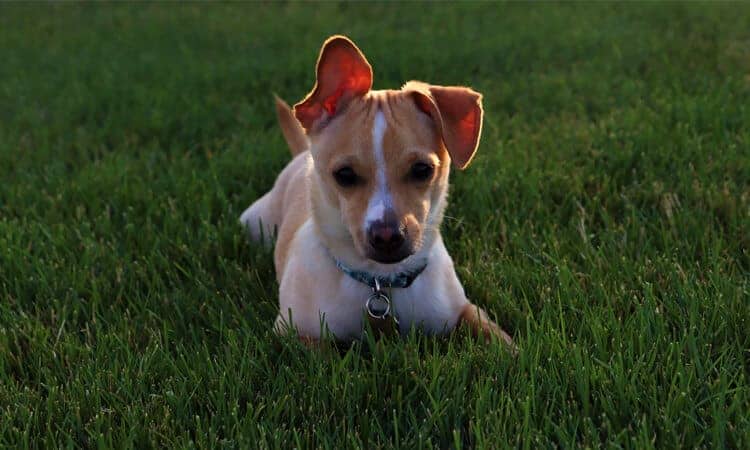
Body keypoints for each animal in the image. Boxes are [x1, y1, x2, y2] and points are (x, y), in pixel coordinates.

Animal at [241, 35, 516, 348]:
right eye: (344, 175)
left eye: (422, 169)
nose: (387, 236)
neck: (379, 282)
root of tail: (301, 154)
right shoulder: (293, 334)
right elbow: (325, 351)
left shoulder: (461, 310)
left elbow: (495, 336)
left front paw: (513, 352)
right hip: (254, 223)